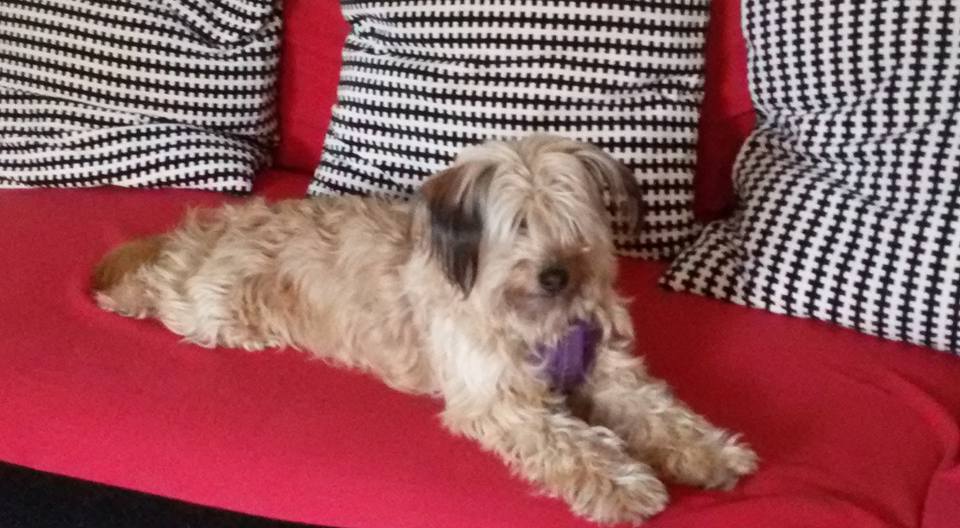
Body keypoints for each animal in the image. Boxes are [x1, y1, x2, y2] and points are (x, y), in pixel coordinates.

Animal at [92, 134, 757, 524]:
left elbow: (659, 411)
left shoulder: (611, 371)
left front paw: (710, 451)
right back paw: (124, 292)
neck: (538, 322)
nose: (556, 274)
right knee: (162, 287)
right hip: (213, 308)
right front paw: (623, 483)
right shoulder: (500, 400)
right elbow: (573, 443)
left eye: (573, 221)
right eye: (518, 225)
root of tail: (212, 227)